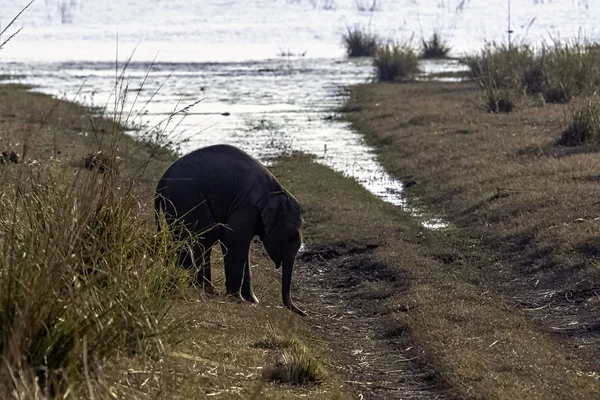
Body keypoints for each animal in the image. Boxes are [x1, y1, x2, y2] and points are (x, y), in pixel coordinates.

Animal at [152, 143, 308, 316]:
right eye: (291, 237)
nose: (305, 313)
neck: (276, 191)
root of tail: (161, 182)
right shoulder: (246, 207)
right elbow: (234, 239)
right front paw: (238, 300)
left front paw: (253, 301)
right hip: (186, 202)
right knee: (196, 241)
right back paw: (197, 288)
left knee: (198, 242)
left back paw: (205, 290)